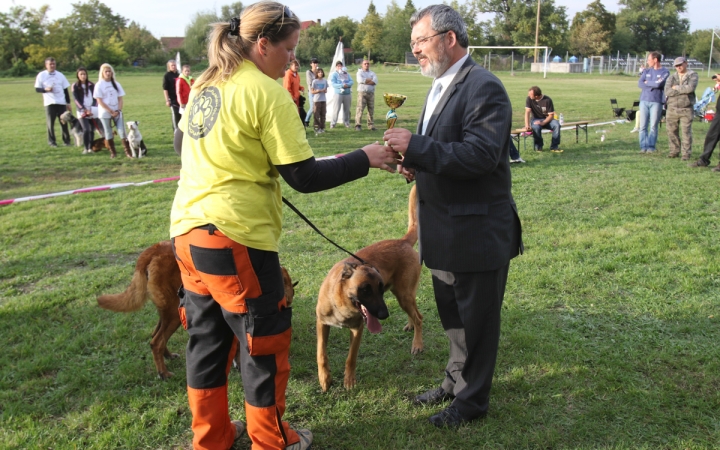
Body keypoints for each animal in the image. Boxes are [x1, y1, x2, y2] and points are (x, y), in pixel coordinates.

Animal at [97, 243, 296, 380]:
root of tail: (151, 252)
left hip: (168, 312)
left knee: (155, 336)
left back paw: (168, 356)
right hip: (175, 314)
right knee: (156, 341)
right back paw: (163, 373)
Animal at [316, 185, 422, 390]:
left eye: (380, 289)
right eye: (365, 289)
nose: (384, 315)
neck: (340, 303)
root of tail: (402, 241)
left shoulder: (358, 329)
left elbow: (351, 358)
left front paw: (349, 381)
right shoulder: (322, 324)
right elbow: (321, 353)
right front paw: (325, 378)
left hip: (403, 295)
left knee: (419, 317)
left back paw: (418, 345)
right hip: (404, 295)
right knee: (415, 313)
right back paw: (411, 325)